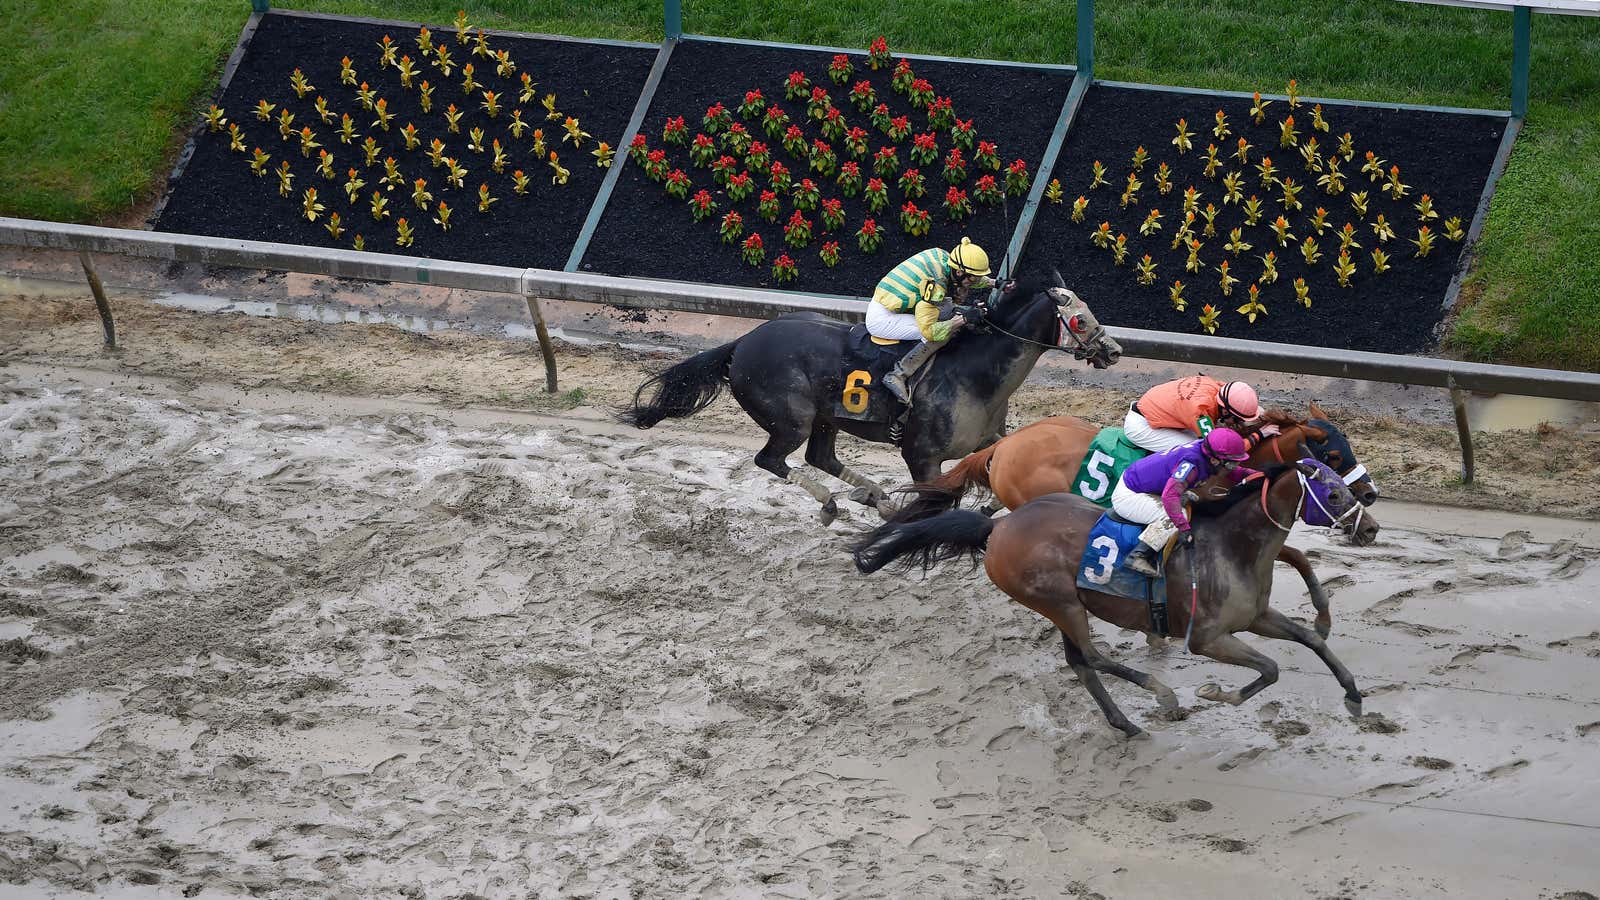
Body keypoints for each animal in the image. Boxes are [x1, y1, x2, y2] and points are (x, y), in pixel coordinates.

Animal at [617, 275, 1120, 525]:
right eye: (1079, 317)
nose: (1113, 350)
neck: (975, 374)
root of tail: (741, 343)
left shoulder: (989, 439)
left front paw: (991, 507)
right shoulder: (922, 455)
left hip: (825, 418)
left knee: (819, 456)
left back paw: (870, 495)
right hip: (791, 418)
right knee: (772, 460)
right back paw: (833, 503)